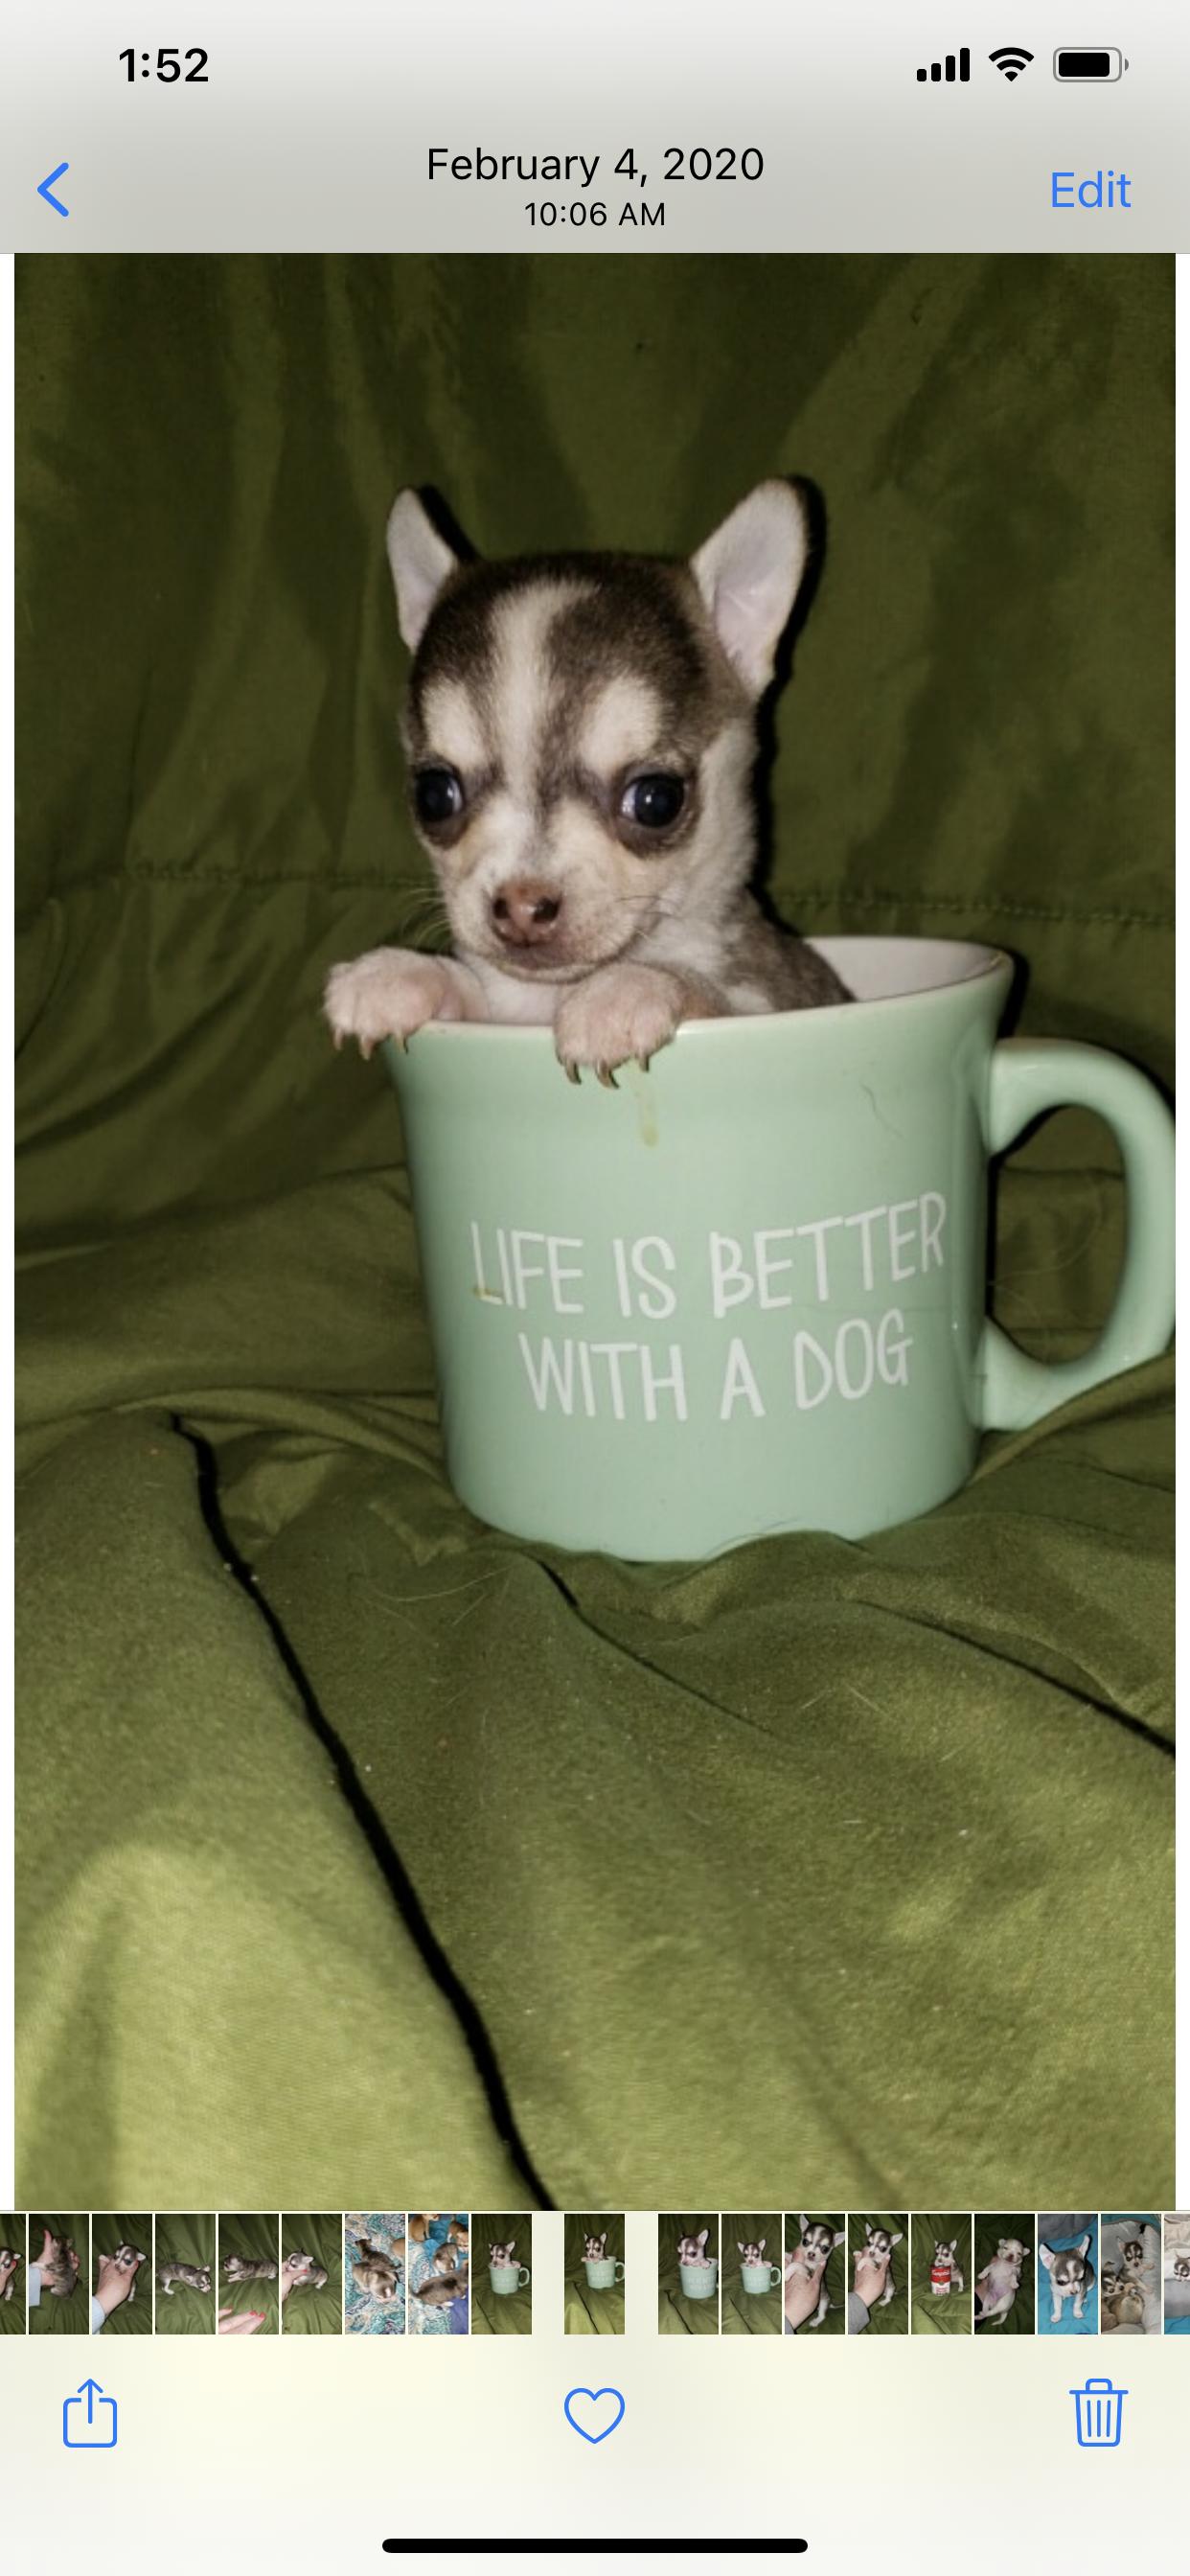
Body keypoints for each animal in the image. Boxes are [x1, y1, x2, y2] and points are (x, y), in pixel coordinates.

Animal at [324, 483, 850, 1084]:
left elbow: (715, 995)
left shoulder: (772, 1000)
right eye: (433, 795)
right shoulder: (500, 1010)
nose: (522, 906)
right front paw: (402, 972)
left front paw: (629, 989)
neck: (551, 996)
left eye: (656, 801)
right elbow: (477, 989)